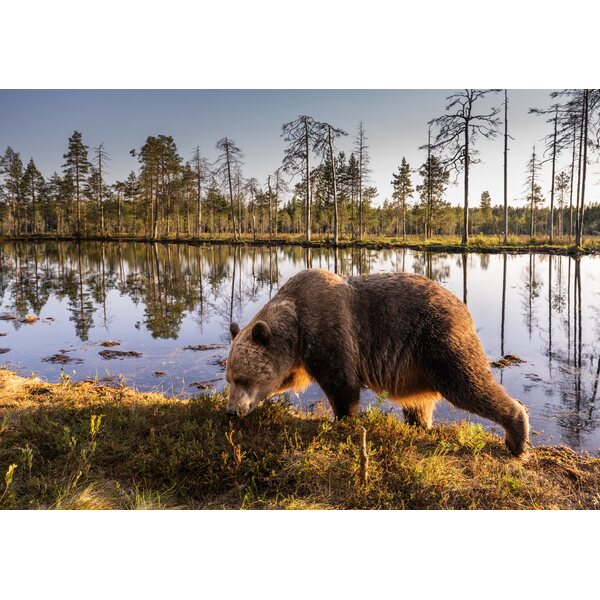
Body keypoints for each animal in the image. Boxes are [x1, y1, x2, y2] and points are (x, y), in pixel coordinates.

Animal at [226, 268, 528, 454]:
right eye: (229, 379)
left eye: (242, 378)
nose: (230, 411)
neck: (296, 326)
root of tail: (463, 306)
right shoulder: (299, 358)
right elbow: (287, 377)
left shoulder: (330, 332)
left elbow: (342, 383)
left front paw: (343, 419)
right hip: (416, 368)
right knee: (419, 404)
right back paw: (419, 424)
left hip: (438, 341)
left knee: (467, 384)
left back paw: (517, 435)